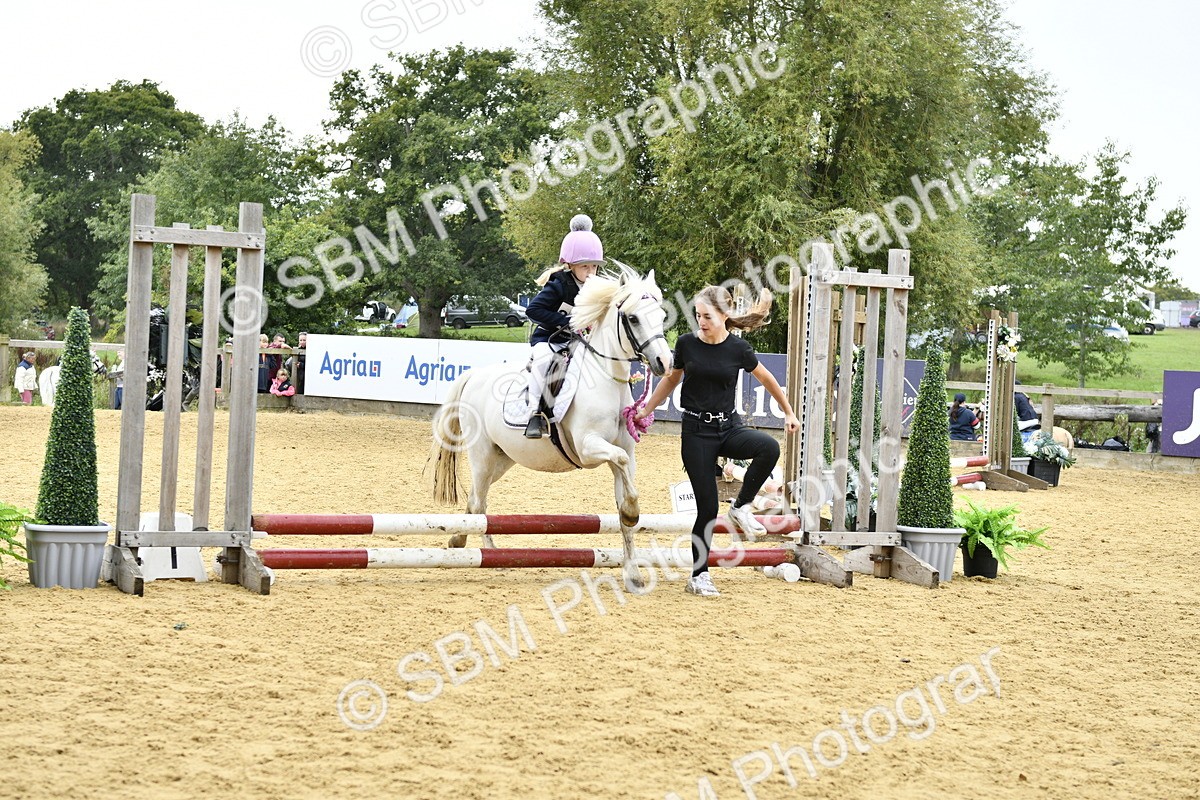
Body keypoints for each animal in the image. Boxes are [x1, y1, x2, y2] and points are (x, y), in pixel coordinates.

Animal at [428, 265, 673, 590]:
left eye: (660, 314)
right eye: (632, 318)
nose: (664, 362)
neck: (607, 378)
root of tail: (474, 376)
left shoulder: (625, 454)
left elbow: (623, 507)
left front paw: (632, 573)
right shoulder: (588, 447)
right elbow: (621, 475)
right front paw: (634, 514)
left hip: (502, 459)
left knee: (474, 500)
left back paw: (458, 538)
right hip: (482, 455)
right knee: (480, 504)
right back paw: (491, 555)